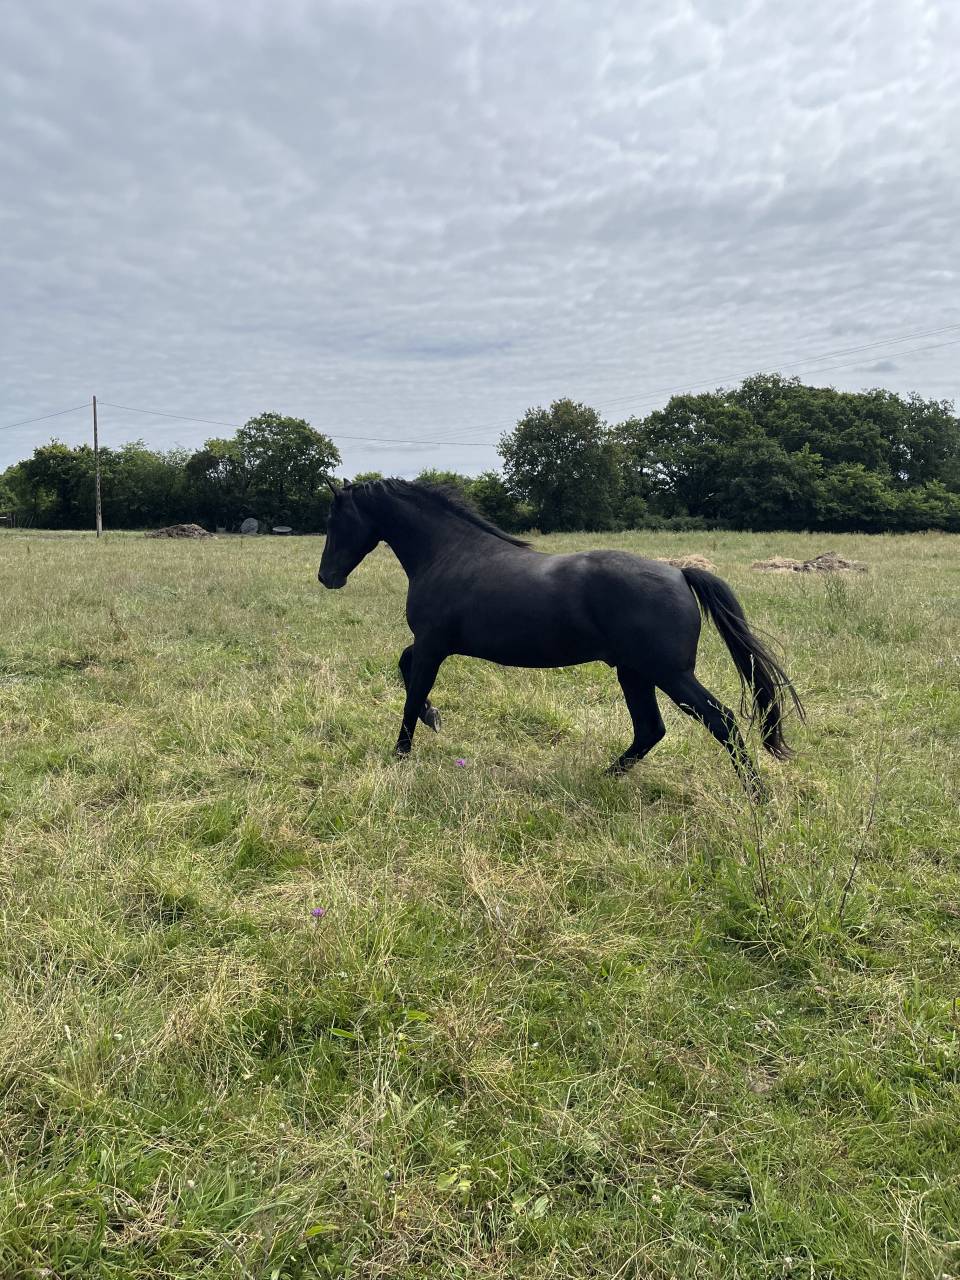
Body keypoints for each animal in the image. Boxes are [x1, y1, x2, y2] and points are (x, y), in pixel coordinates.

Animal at [317, 479, 803, 797]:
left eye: (335, 519)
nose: (327, 577)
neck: (448, 553)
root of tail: (680, 573)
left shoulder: (433, 645)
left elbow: (412, 691)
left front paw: (402, 751)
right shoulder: (432, 645)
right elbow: (405, 669)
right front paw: (433, 721)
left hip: (669, 673)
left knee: (721, 721)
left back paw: (757, 797)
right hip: (635, 672)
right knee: (650, 729)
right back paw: (603, 778)